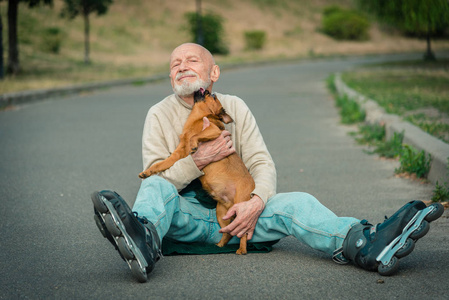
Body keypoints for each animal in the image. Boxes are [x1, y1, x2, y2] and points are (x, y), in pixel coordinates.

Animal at [138, 88, 254, 253]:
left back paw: (242, 249)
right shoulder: (176, 155)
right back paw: (220, 245)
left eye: (213, 96)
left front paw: (193, 144)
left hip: (241, 209)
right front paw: (148, 172)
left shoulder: (212, 131)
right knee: (229, 232)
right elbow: (161, 164)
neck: (196, 118)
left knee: (242, 231)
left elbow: (196, 135)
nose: (205, 90)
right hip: (221, 213)